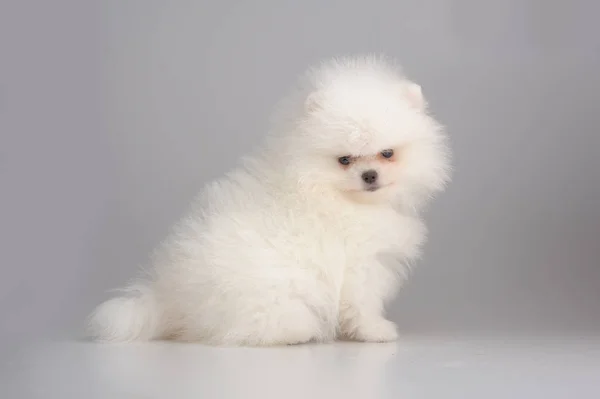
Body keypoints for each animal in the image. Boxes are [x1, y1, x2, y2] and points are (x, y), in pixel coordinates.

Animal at [88, 54, 450, 346]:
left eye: (387, 153)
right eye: (345, 160)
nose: (369, 175)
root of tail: (167, 295)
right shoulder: (360, 264)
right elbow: (362, 304)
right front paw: (376, 331)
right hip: (264, 289)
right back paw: (296, 332)